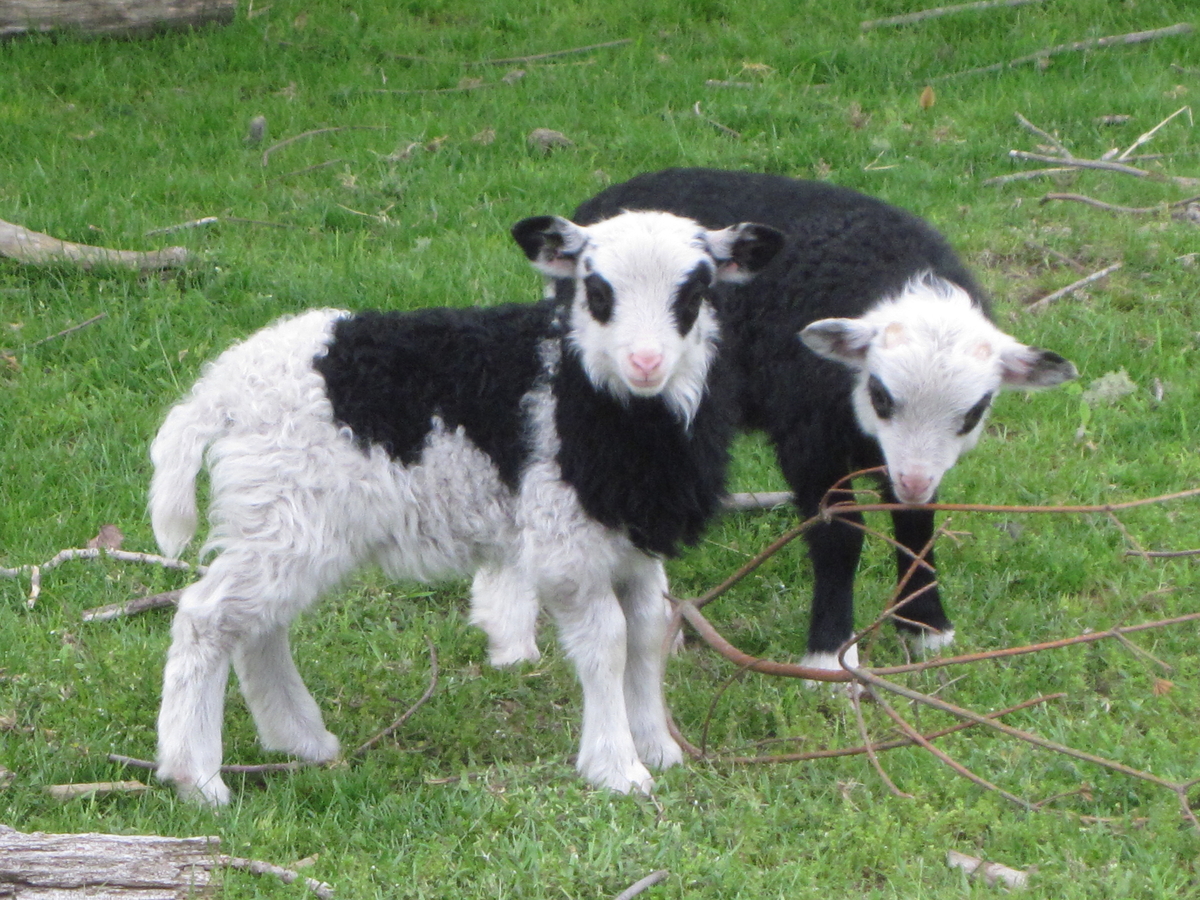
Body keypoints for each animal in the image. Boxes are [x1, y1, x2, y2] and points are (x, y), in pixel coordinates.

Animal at [149, 208, 784, 804]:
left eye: (695, 292)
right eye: (597, 291)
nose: (646, 362)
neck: (597, 397)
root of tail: (221, 390)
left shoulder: (633, 540)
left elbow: (648, 634)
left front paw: (659, 748)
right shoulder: (566, 544)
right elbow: (607, 643)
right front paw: (617, 769)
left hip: (285, 521)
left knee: (259, 626)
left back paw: (300, 740)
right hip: (285, 511)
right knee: (207, 618)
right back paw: (197, 777)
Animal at [478, 168, 1076, 676]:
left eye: (974, 412)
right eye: (881, 396)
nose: (912, 480)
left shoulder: (903, 457)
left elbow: (915, 523)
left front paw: (925, 627)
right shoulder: (806, 435)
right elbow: (840, 536)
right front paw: (829, 656)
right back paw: (519, 635)